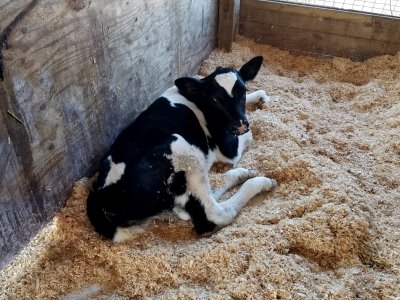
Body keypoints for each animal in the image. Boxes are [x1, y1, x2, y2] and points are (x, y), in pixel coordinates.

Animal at [86, 56, 276, 243]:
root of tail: (98, 196)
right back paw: (261, 182)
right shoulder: (228, 147)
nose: (241, 125)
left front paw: (260, 97)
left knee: (190, 205)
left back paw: (243, 174)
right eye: (215, 99)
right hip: (182, 148)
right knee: (212, 215)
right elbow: (249, 136)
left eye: (243, 91)